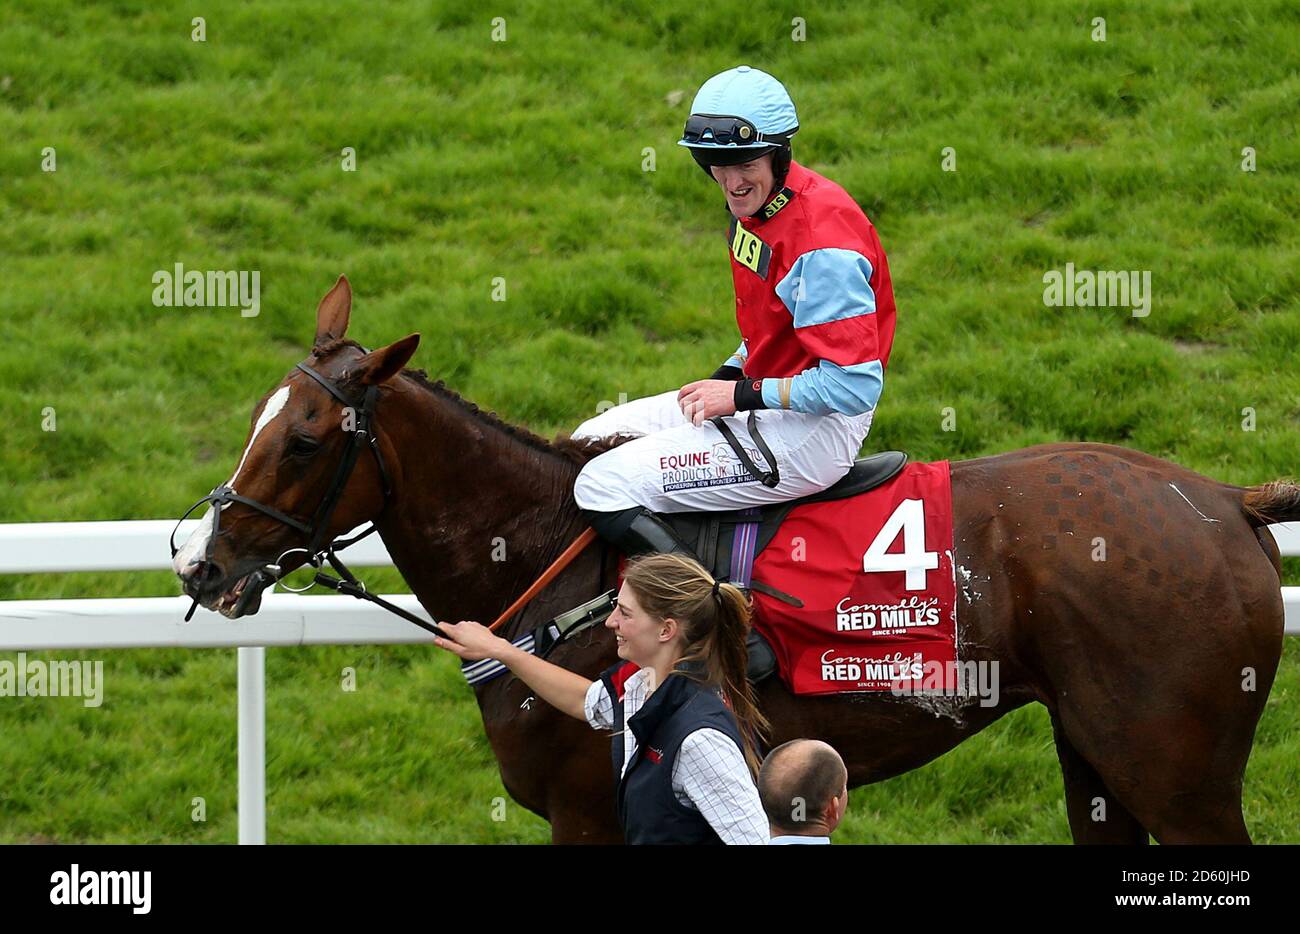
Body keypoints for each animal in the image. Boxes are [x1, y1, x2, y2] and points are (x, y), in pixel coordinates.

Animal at [170, 275, 1289, 842]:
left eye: (305, 440)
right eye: (261, 419)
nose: (201, 567)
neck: (548, 562)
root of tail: (1223, 499)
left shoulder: (591, 812)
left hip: (1178, 778)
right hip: (1095, 759)